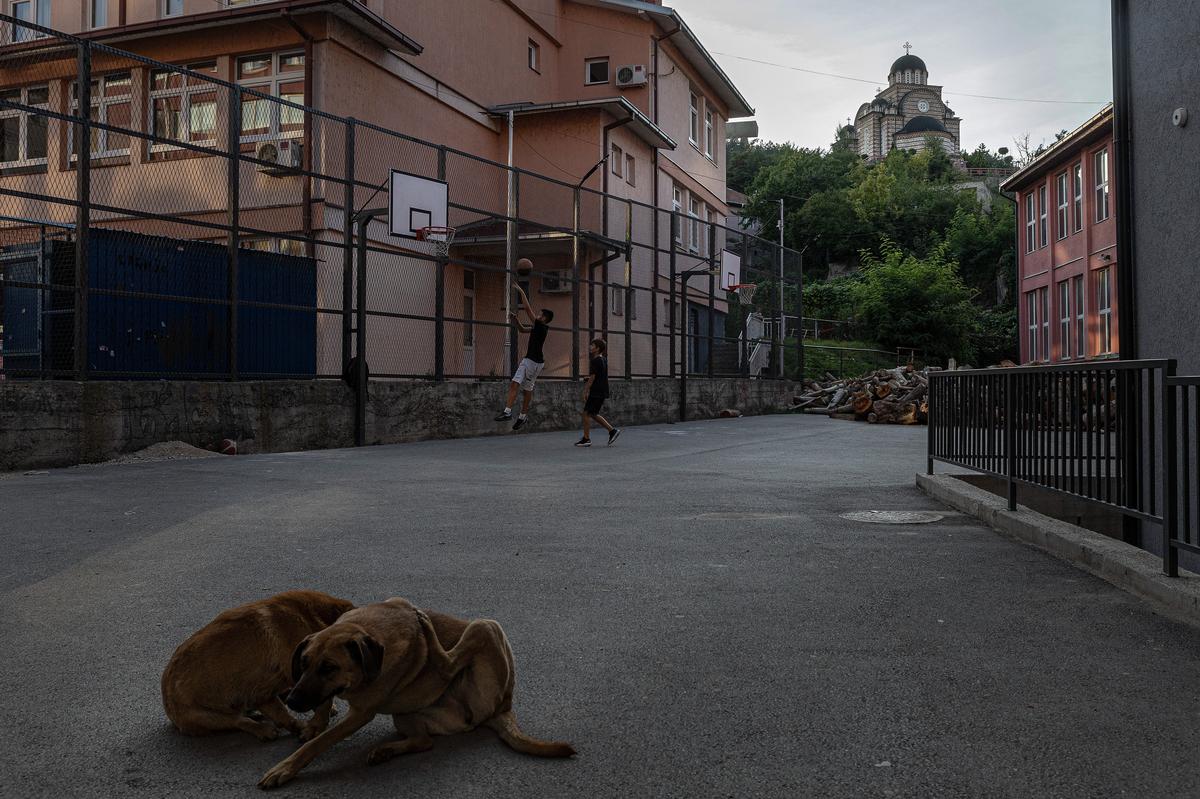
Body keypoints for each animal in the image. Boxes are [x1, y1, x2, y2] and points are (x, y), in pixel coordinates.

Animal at [162, 585, 352, 739]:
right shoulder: (269, 689)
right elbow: (300, 710)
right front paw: (308, 726)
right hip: (209, 717)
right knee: (240, 722)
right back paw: (263, 729)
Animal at [256, 595, 571, 787]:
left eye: (329, 667)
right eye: (304, 663)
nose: (292, 700)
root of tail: (505, 706)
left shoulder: (360, 714)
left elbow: (319, 743)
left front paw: (285, 768)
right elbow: (323, 703)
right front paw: (314, 723)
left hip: (486, 627)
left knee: (447, 666)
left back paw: (428, 630)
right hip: (405, 714)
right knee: (424, 741)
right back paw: (386, 751)